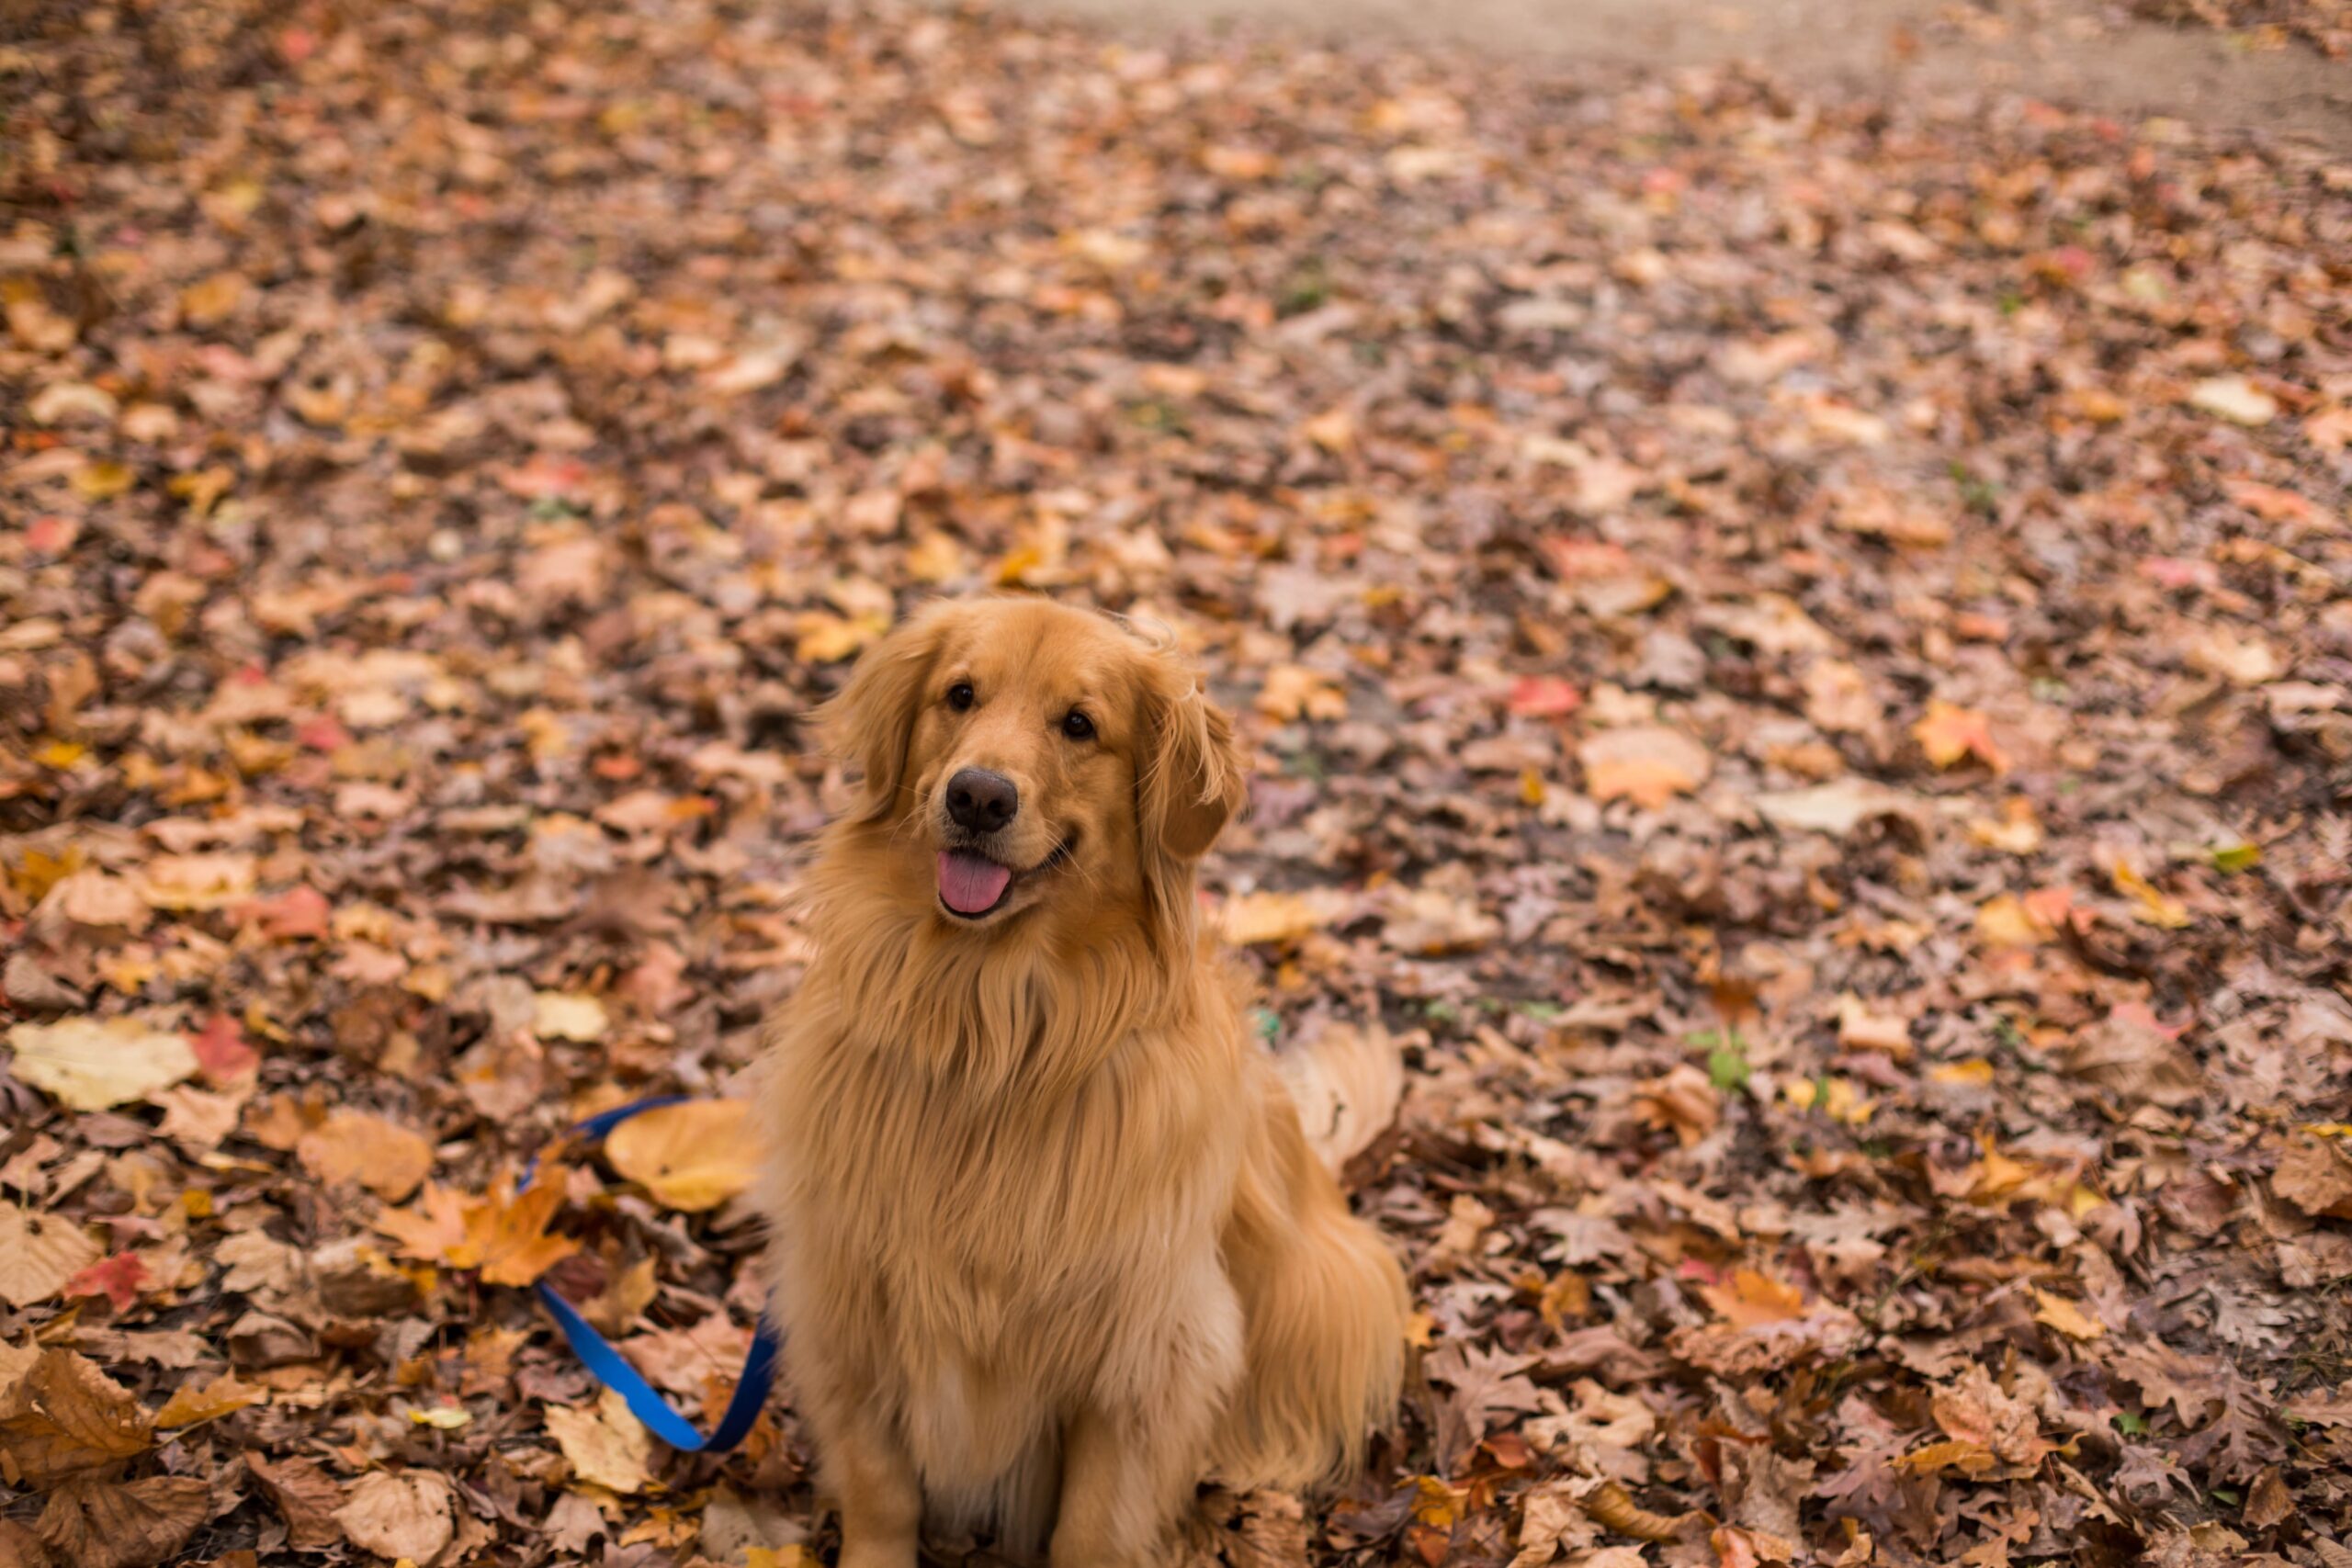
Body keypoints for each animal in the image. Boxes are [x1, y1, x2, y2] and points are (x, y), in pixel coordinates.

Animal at [752, 597, 1401, 1568]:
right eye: (960, 695)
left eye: (1080, 725)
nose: (978, 795)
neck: (992, 1033)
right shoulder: (851, 1301)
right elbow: (880, 1487)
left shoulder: (1143, 1354)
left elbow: (1093, 1524)